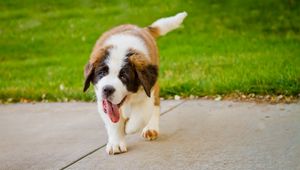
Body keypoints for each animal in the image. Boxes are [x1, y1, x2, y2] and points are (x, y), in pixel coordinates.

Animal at [83, 11, 188, 154]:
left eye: (123, 76)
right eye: (101, 73)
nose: (107, 89)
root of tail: (143, 29)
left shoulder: (147, 91)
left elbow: (140, 117)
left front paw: (128, 127)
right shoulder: (102, 101)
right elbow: (113, 121)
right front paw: (116, 142)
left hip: (153, 86)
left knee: (155, 105)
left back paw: (150, 127)